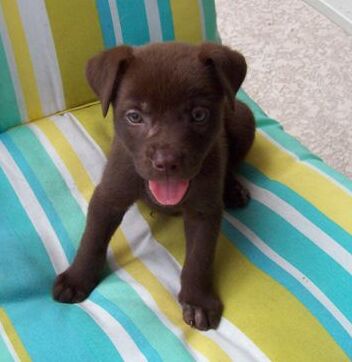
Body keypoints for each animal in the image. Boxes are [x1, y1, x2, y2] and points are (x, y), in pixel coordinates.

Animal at [53, 42, 256, 330]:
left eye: (199, 115)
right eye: (135, 116)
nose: (167, 162)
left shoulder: (204, 209)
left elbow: (200, 256)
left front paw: (198, 301)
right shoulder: (110, 194)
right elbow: (92, 239)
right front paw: (76, 278)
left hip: (243, 120)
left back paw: (233, 190)